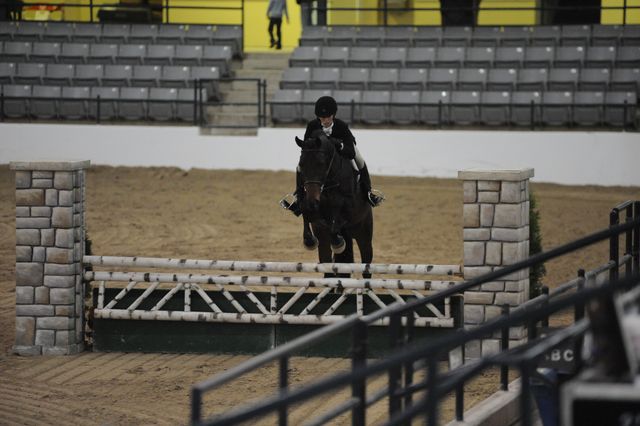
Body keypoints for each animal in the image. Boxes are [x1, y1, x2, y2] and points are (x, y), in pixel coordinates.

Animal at [295, 131, 373, 279]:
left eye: (320, 164)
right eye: (301, 164)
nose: (313, 200)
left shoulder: (347, 208)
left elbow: (336, 216)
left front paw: (338, 243)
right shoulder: (310, 205)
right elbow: (305, 212)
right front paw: (309, 241)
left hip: (363, 232)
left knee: (367, 263)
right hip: (323, 237)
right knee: (327, 265)